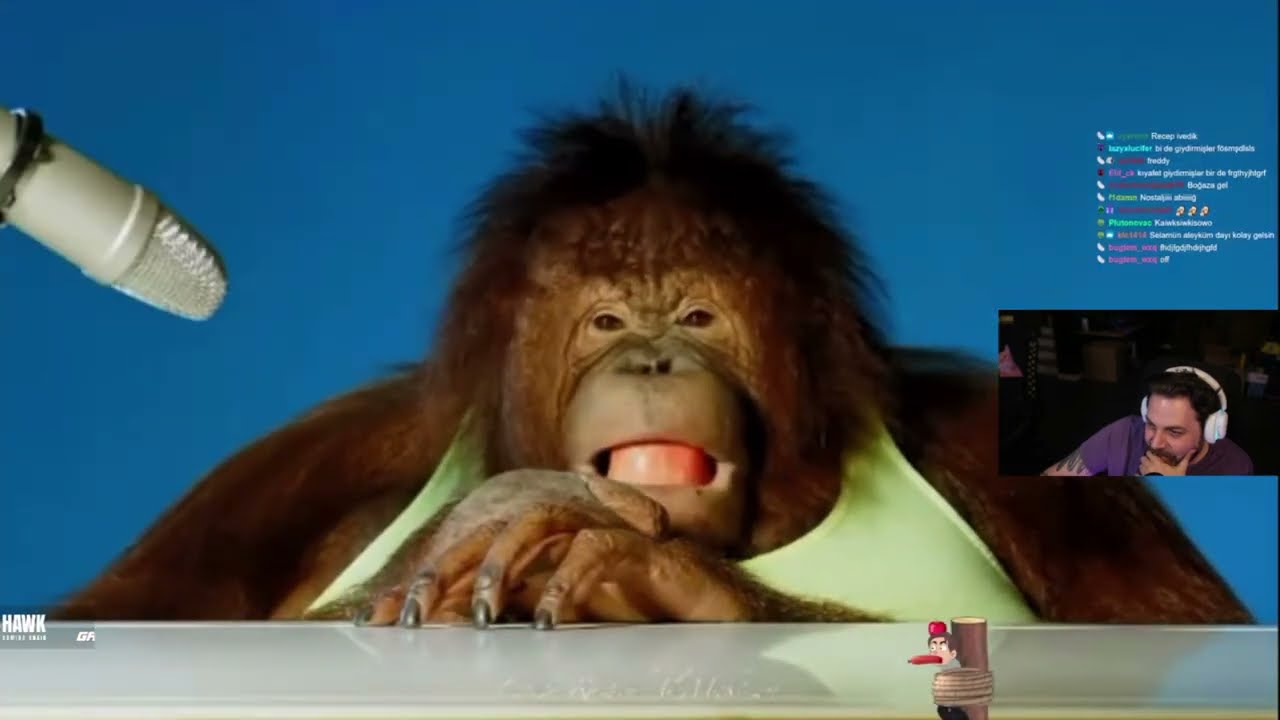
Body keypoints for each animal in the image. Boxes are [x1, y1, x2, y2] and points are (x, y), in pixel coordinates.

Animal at [47, 84, 1253, 628]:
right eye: (607, 324)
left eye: (701, 318)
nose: (657, 362)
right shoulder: (338, 444)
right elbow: (115, 615)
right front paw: (458, 542)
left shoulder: (980, 427)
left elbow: (1171, 631)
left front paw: (639, 569)